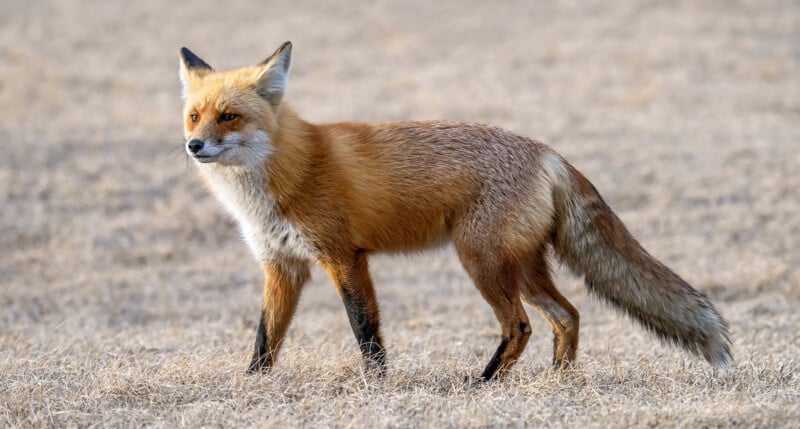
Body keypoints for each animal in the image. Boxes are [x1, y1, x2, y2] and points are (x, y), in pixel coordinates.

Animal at [180, 41, 732, 380]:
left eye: (229, 116)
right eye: (194, 115)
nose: (194, 145)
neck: (289, 172)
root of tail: (549, 152)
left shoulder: (344, 257)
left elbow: (365, 332)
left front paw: (379, 387)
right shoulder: (282, 265)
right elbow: (266, 338)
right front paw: (252, 386)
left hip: (482, 261)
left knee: (521, 326)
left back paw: (483, 384)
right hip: (522, 266)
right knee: (567, 315)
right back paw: (558, 383)